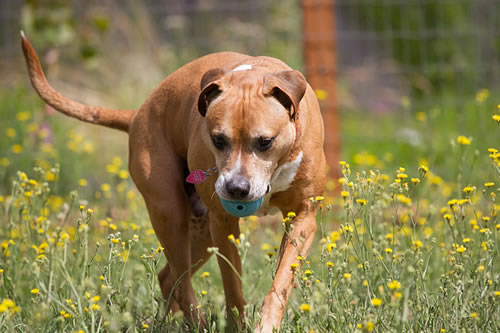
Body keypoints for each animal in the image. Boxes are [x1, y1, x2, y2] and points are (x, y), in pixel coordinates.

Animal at [22, 31, 328, 332]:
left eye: (265, 141)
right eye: (218, 139)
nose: (236, 189)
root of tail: (136, 115)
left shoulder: (303, 217)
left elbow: (282, 280)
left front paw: (266, 323)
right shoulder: (223, 222)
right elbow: (232, 286)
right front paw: (238, 324)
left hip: (201, 231)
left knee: (169, 277)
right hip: (171, 213)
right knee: (181, 280)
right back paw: (195, 321)